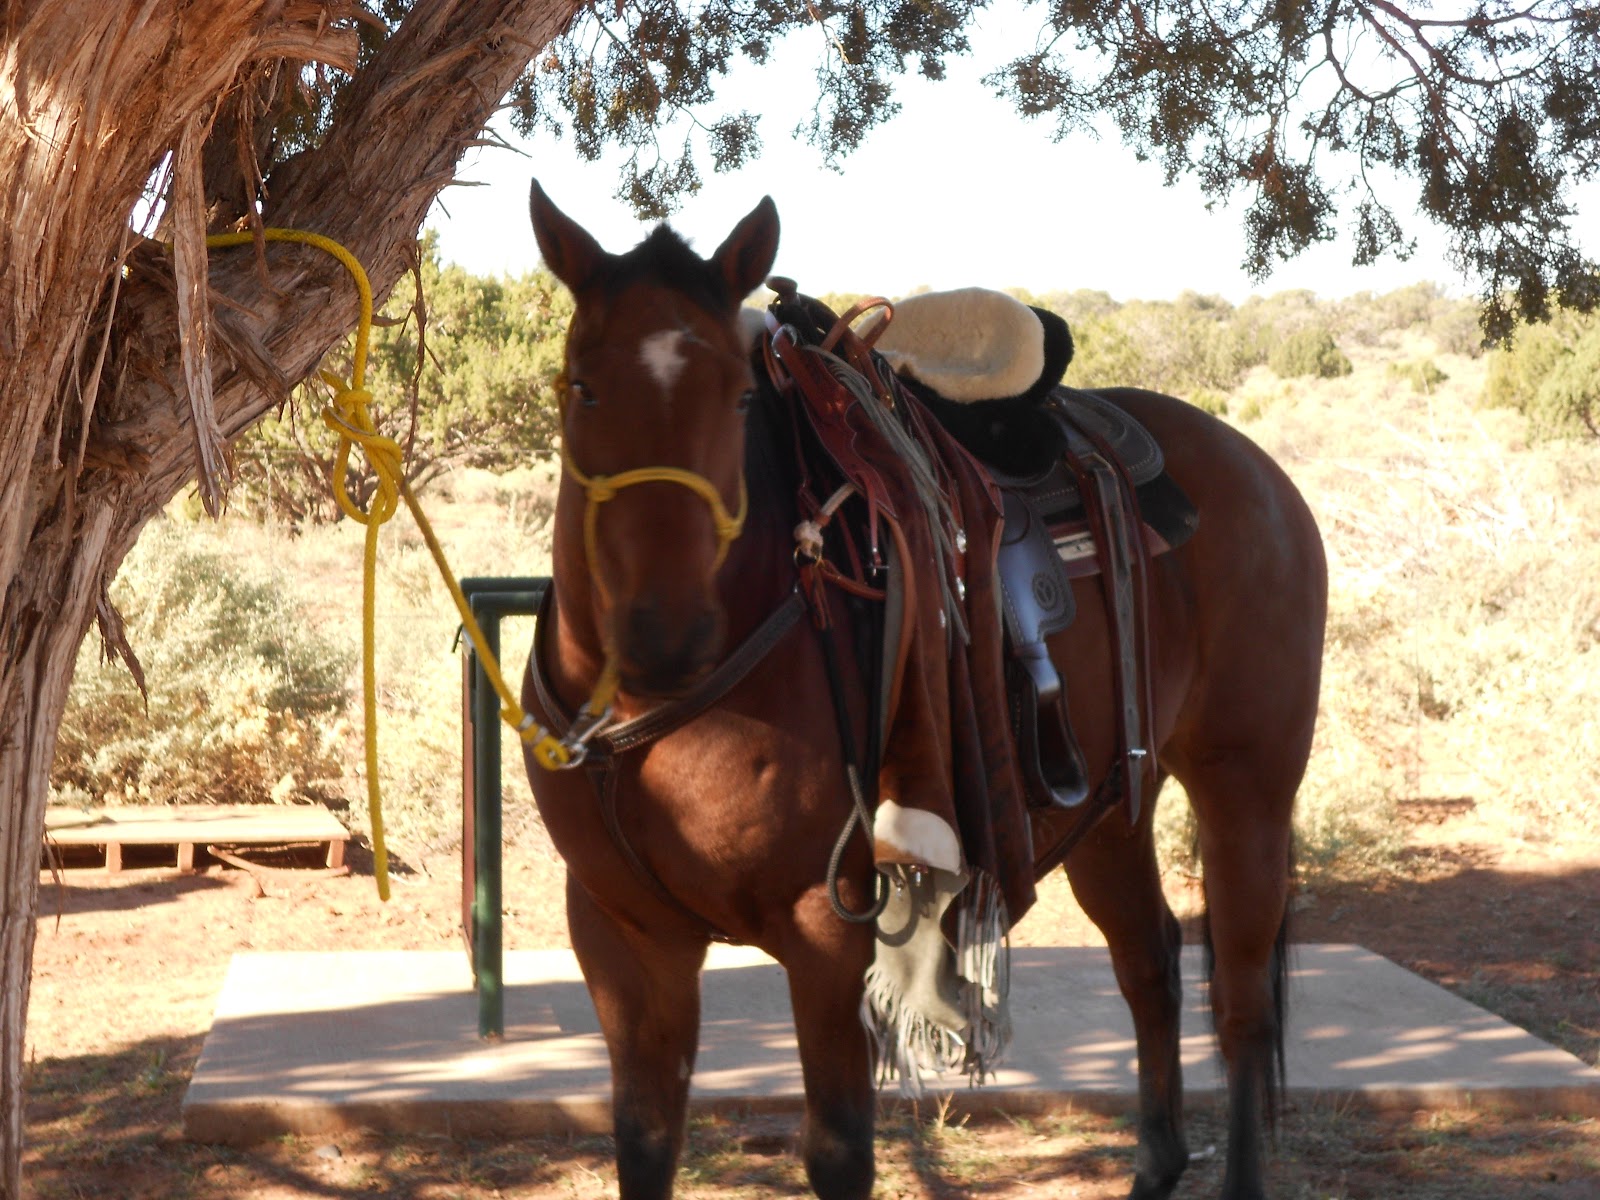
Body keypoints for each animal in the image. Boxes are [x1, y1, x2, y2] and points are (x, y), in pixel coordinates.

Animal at [519, 179, 1328, 1200]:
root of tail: (1256, 471)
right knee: (1150, 963)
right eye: (582, 386)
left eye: (739, 394)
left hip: (1245, 787)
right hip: (1110, 808)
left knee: (1243, 1001)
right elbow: (645, 1141)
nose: (666, 636)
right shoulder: (622, 936)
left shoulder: (826, 930)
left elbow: (838, 1151)